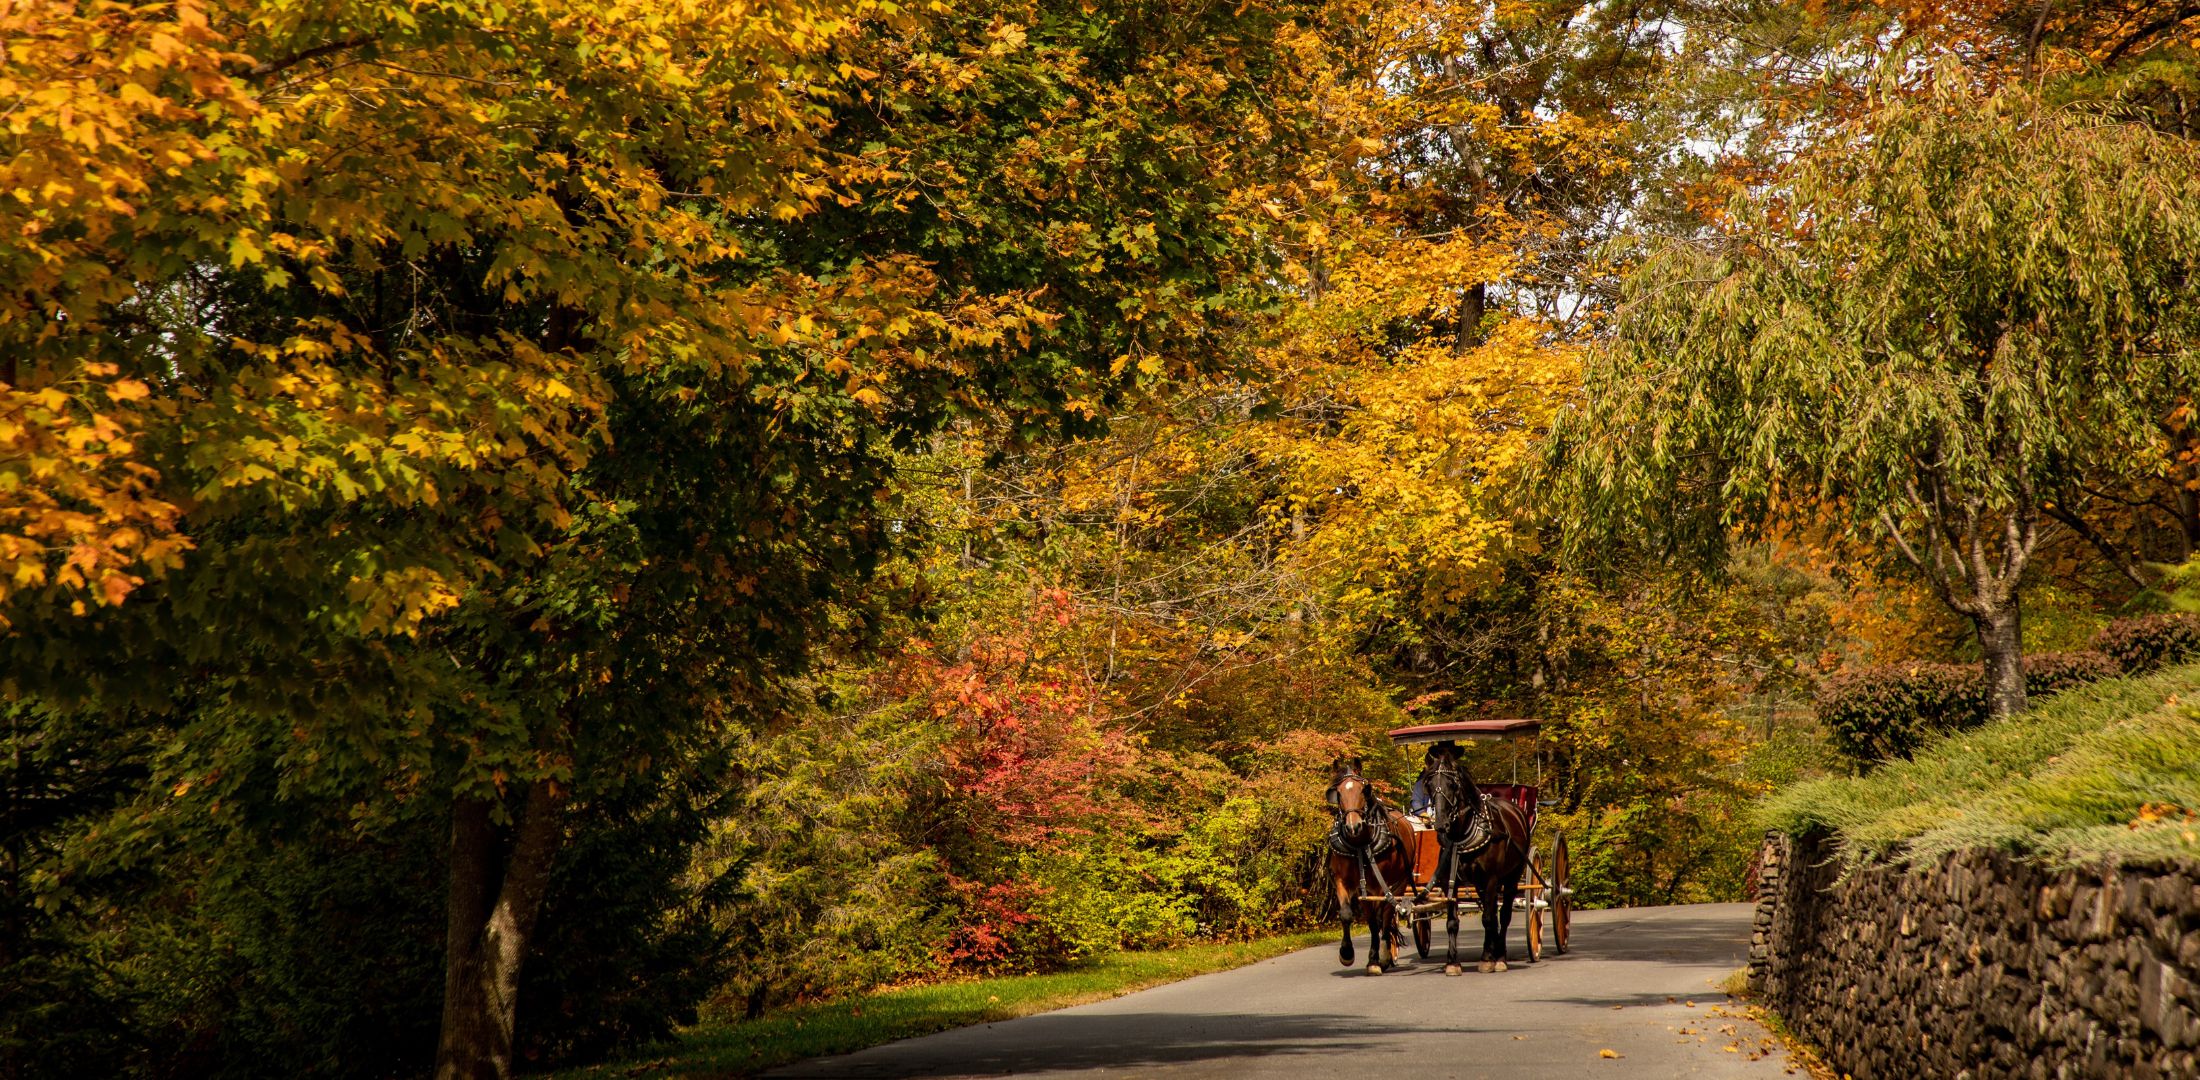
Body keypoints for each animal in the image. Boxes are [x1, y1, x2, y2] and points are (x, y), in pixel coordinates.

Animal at [1320, 761, 1408, 981]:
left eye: (1363, 790)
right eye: (1338, 793)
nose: (1354, 826)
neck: (1359, 844)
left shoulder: (1381, 888)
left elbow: (1379, 921)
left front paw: (1377, 960)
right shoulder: (1344, 882)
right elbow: (1346, 915)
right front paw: (1346, 953)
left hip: (1399, 885)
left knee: (1385, 918)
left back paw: (1383, 956)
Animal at [1408, 743, 1531, 981]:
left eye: (1453, 784)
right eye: (1429, 784)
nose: (1441, 823)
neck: (1462, 835)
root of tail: (1515, 809)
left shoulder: (1492, 879)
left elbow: (1488, 918)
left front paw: (1487, 960)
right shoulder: (1451, 882)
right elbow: (1453, 922)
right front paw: (1452, 963)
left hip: (1511, 877)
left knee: (1503, 914)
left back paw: (1499, 957)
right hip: (1482, 885)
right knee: (1492, 914)